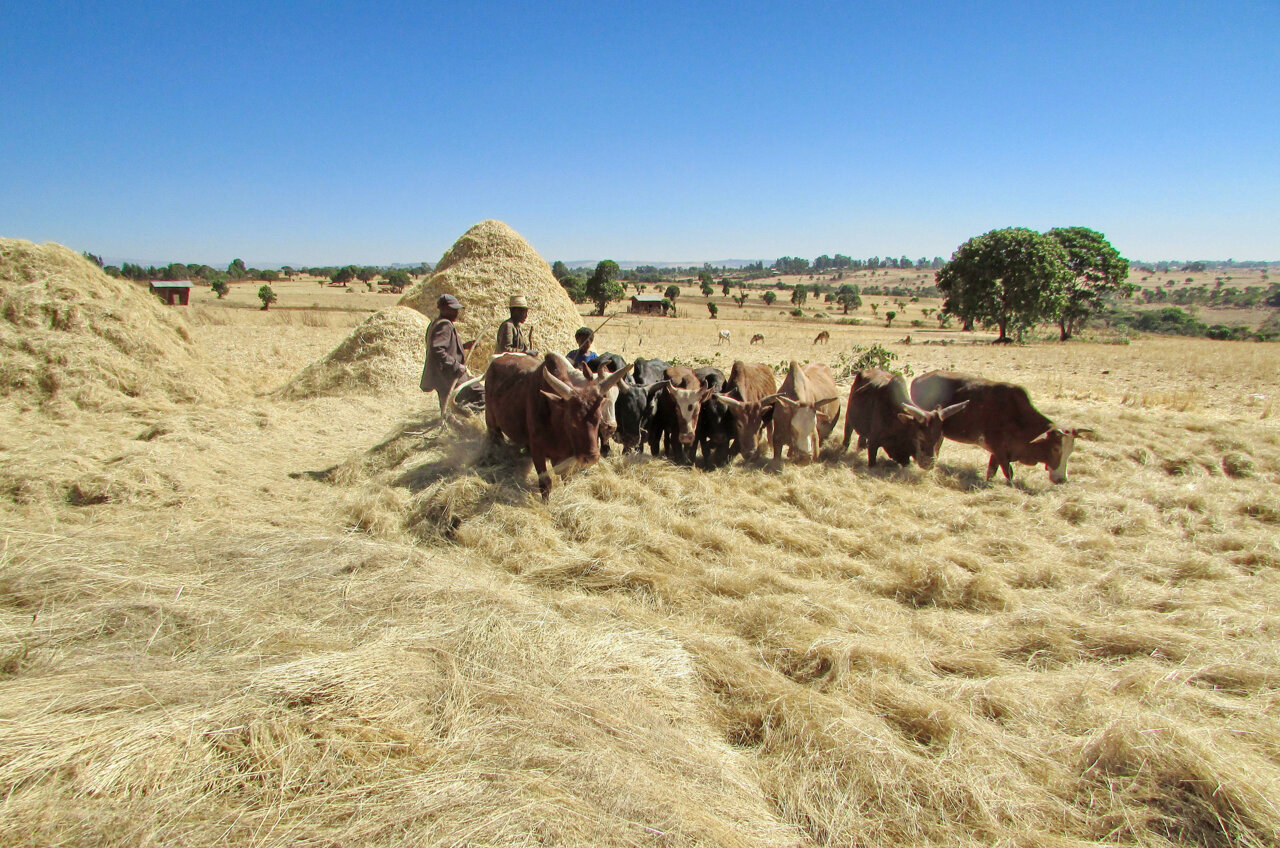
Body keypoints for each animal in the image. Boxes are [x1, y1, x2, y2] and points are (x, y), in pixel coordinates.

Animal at [483, 350, 629, 499]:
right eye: (572, 420)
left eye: (598, 418)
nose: (591, 458)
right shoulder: (537, 451)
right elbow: (545, 483)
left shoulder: (568, 456)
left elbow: (567, 478)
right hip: (491, 420)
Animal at [839, 366, 967, 468]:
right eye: (920, 436)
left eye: (940, 436)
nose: (929, 464)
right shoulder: (873, 443)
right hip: (849, 418)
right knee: (848, 435)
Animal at [911, 371, 1090, 484]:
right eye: (1055, 449)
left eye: (1071, 451)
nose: (1061, 479)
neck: (1018, 418)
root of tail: (920, 378)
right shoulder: (1000, 451)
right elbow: (1008, 473)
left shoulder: (998, 452)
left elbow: (992, 471)